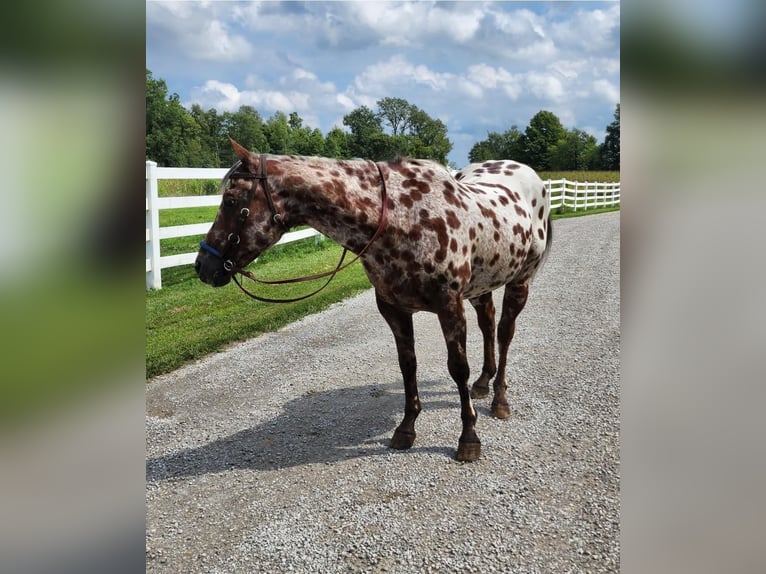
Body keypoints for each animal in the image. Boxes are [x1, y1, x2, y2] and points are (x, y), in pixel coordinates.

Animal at [196, 140, 552, 464]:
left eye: (230, 200)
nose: (203, 266)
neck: (402, 216)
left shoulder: (449, 306)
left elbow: (457, 368)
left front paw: (468, 438)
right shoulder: (394, 309)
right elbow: (408, 366)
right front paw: (406, 429)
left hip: (518, 283)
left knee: (505, 334)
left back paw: (500, 400)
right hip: (482, 286)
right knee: (488, 324)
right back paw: (483, 383)